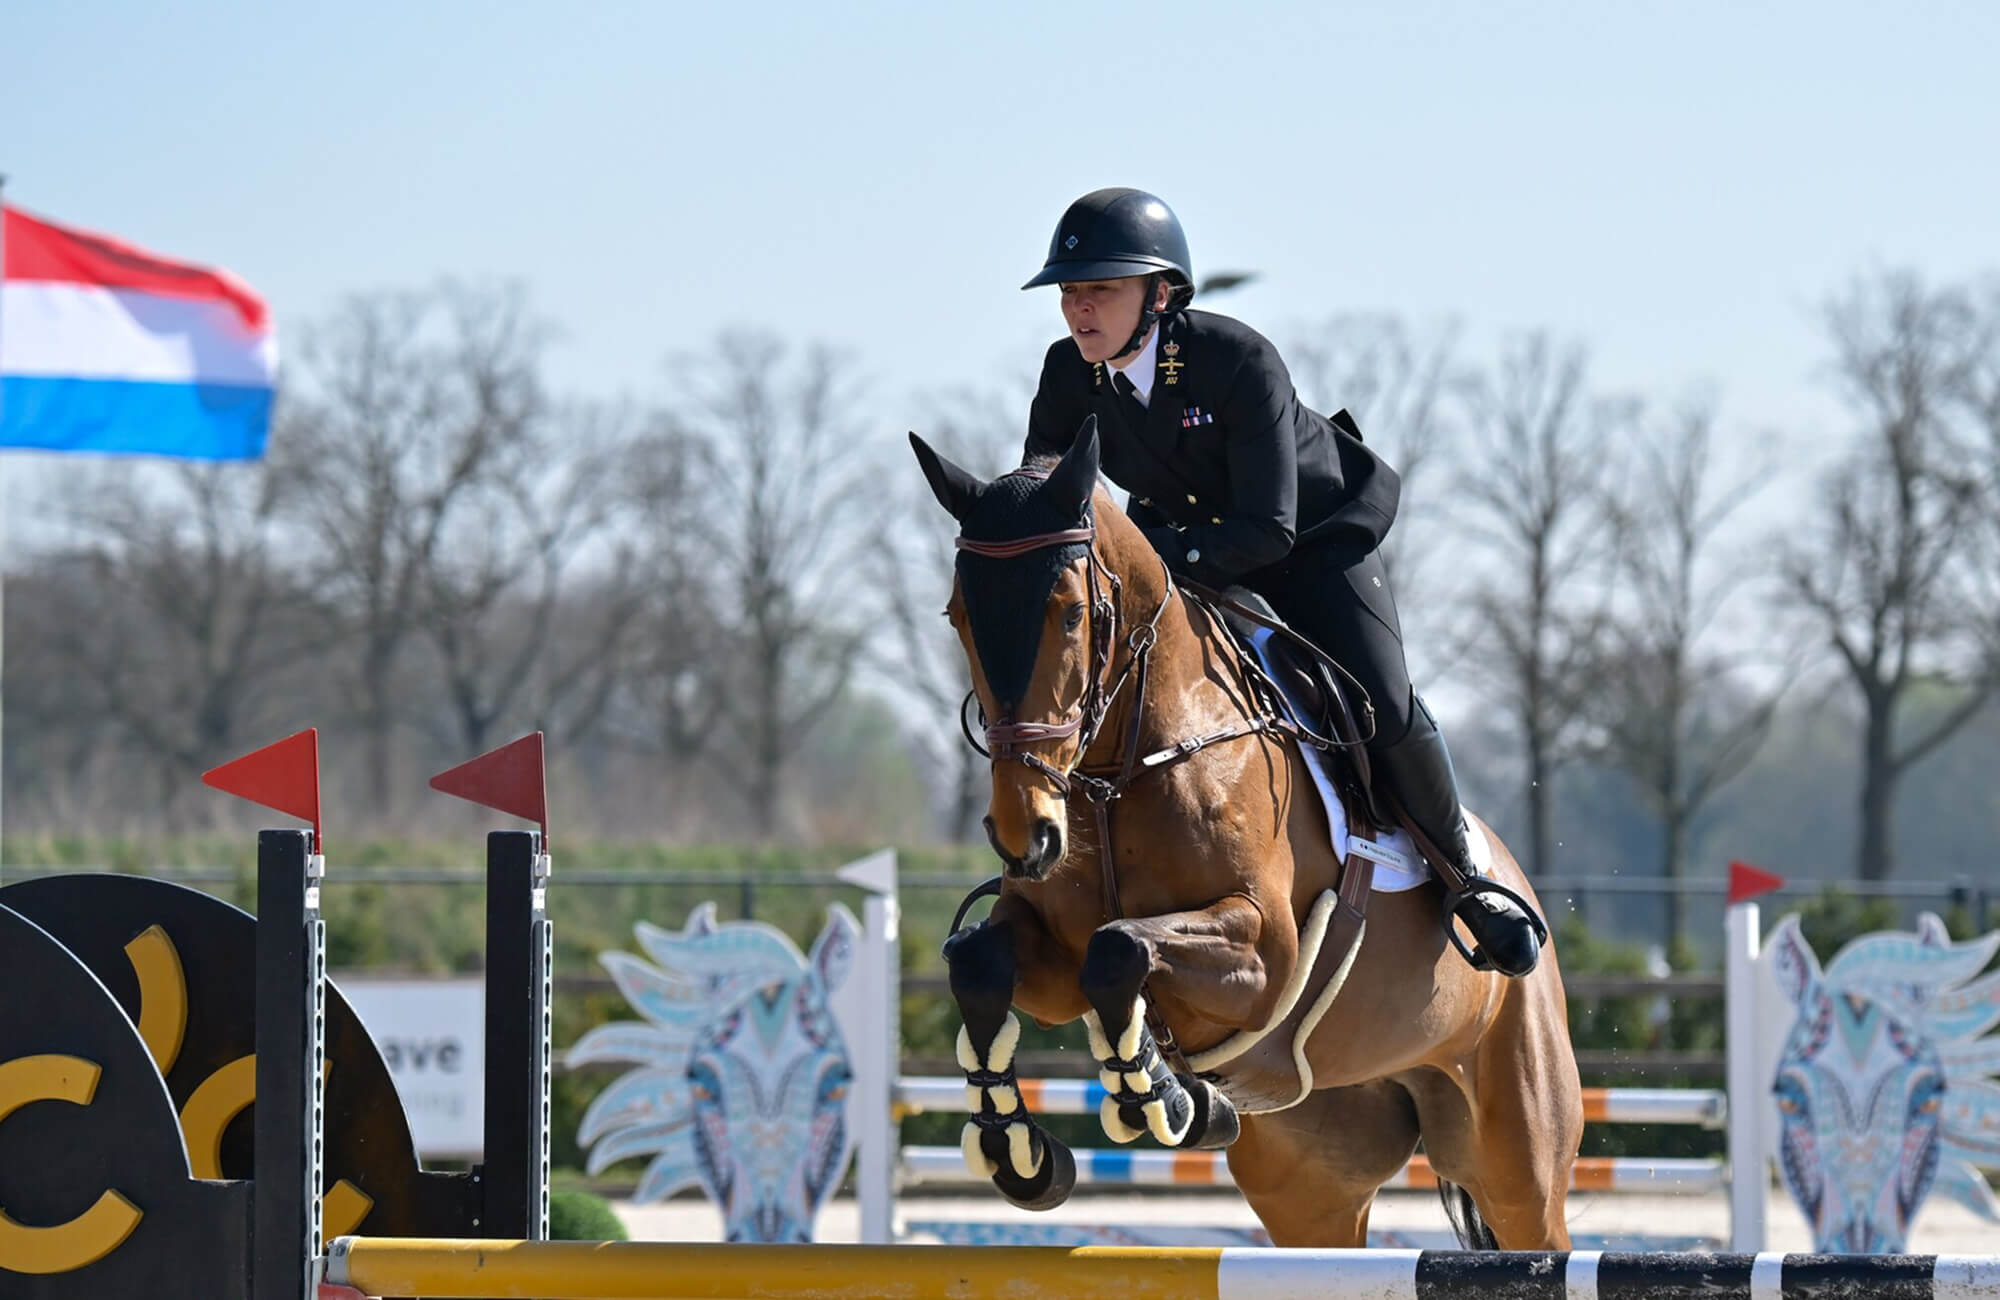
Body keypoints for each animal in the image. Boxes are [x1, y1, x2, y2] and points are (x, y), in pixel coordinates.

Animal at [910, 419, 1582, 1249]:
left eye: (1068, 612)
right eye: (958, 614)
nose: (1024, 832)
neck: (1122, 768)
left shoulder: (1265, 952)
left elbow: (1120, 949)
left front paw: (1159, 1094)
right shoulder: (1051, 955)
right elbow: (984, 962)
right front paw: (1017, 1145)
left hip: (1518, 1160)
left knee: (1535, 1222)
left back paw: (1492, 920)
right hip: (1311, 1185)